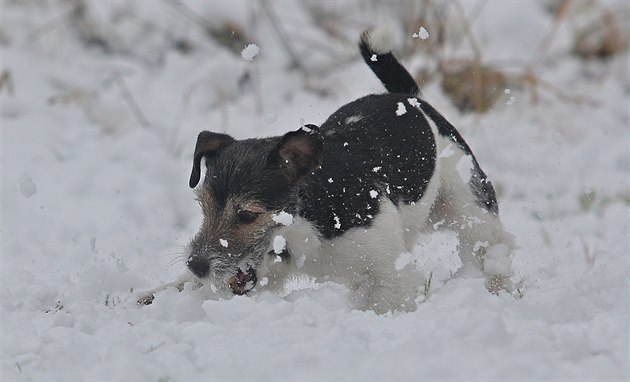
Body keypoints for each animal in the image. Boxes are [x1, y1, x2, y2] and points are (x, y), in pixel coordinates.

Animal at [138, 27, 512, 314]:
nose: (196, 264)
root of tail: (409, 97)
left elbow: (386, 301)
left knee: (493, 245)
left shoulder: (390, 274)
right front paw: (153, 295)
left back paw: (500, 287)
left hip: (469, 205)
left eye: (247, 215)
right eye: (204, 208)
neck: (306, 220)